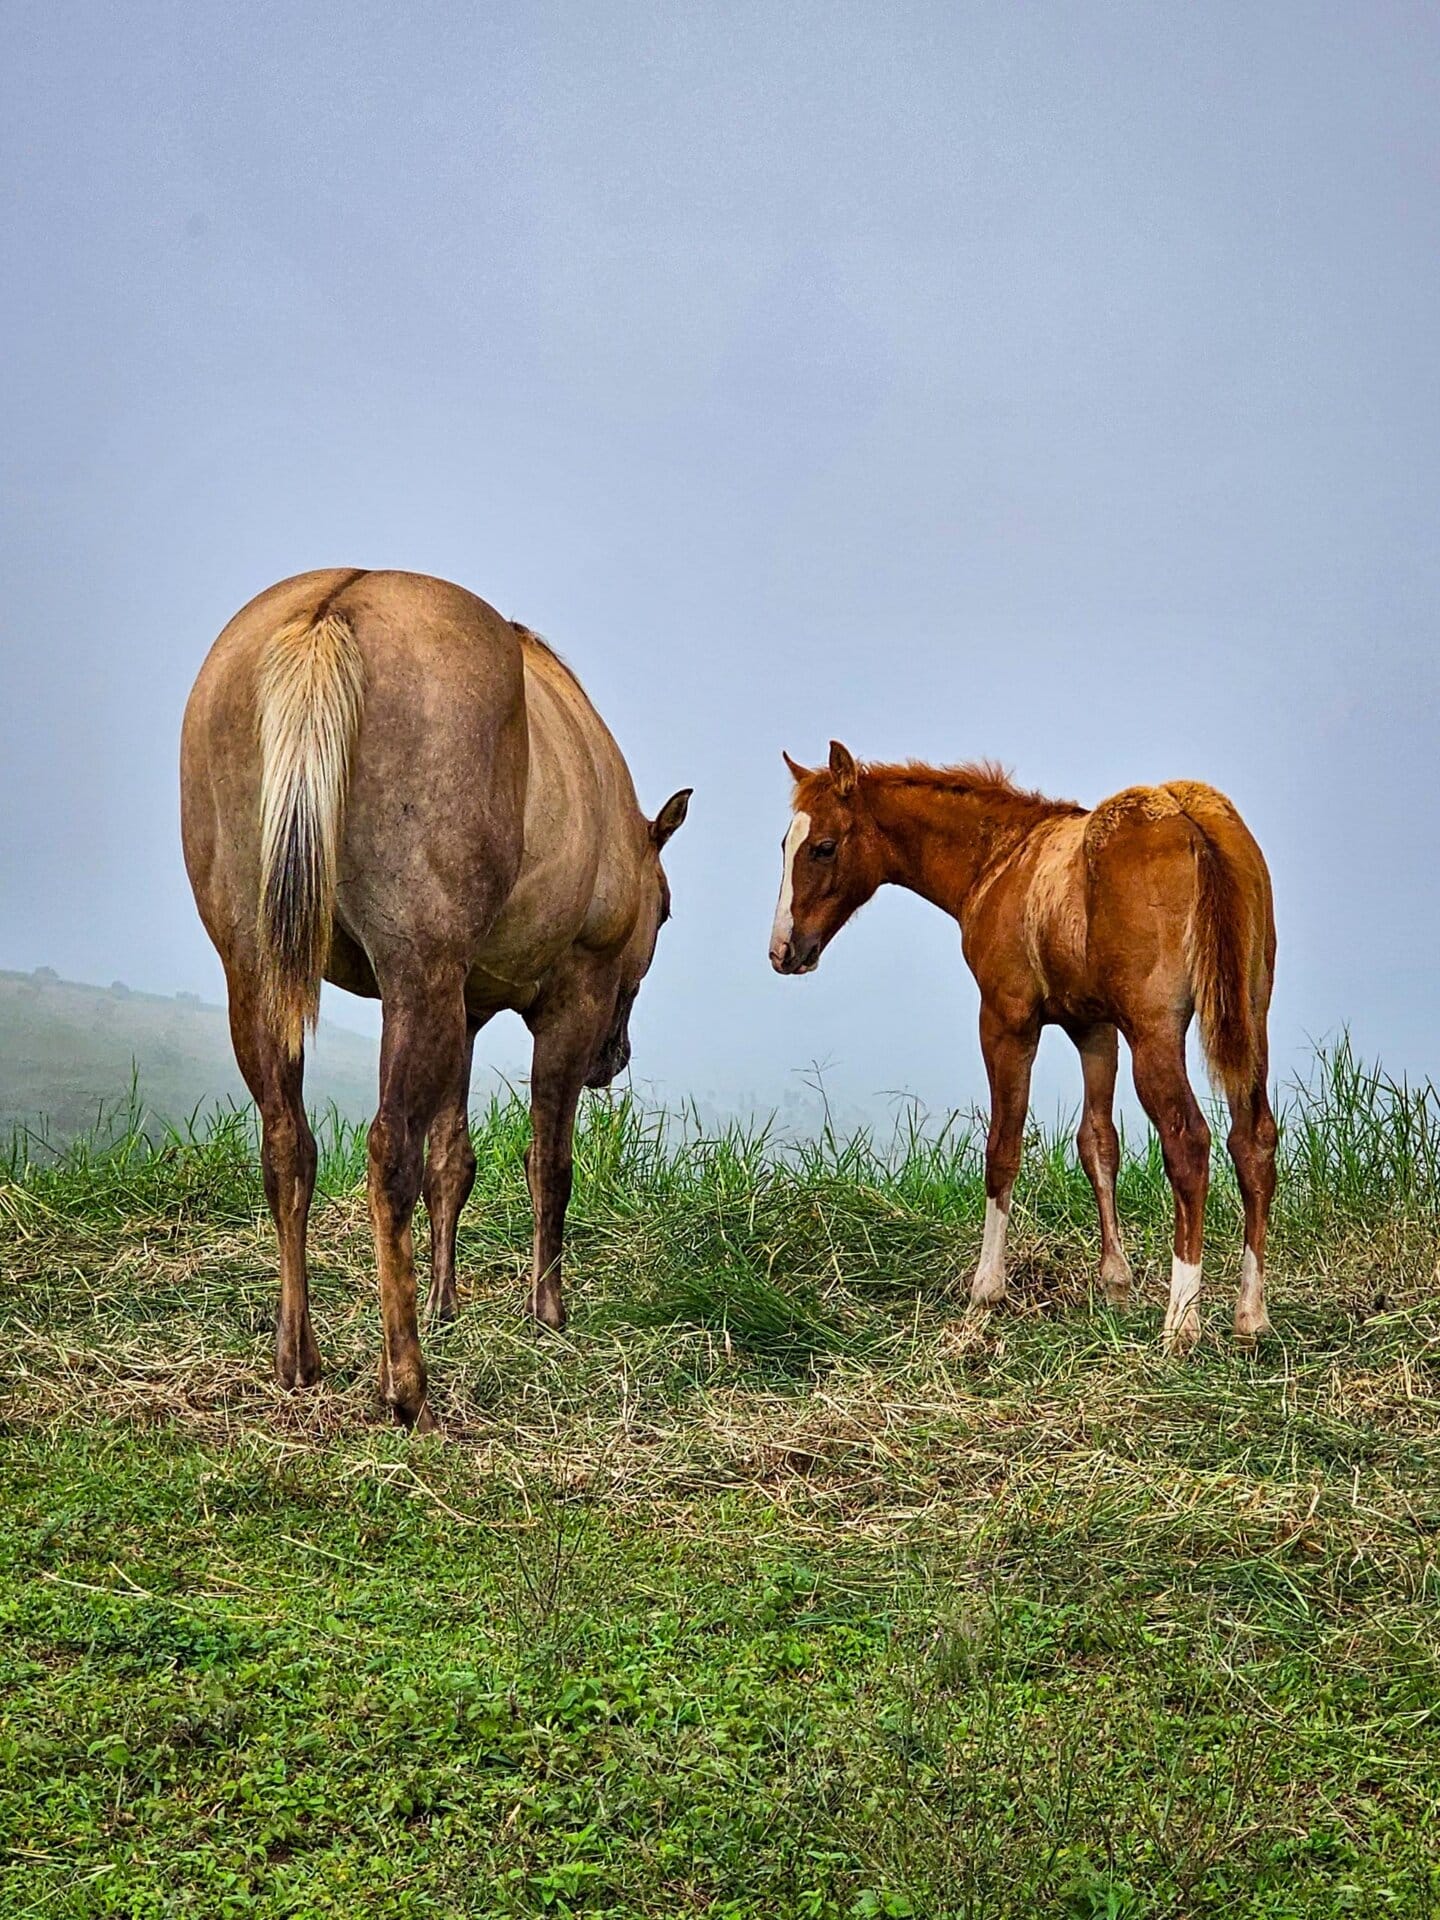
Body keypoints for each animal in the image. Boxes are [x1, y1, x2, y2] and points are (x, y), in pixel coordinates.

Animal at [181, 569, 690, 1429]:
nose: (613, 1060)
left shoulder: (467, 1005)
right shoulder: (569, 1000)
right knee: (389, 1152)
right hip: (416, 981)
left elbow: (454, 1159)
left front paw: (449, 1301)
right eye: (667, 909)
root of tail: (330, 614)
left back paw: (299, 1359)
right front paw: (546, 1311)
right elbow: (547, 1161)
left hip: (259, 971)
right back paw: (407, 1384)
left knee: (289, 1145)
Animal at [769, 742, 1276, 1353]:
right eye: (784, 846)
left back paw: (1181, 1323)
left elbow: (1003, 1147)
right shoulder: (1094, 1028)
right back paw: (1251, 1315)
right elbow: (1097, 1144)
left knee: (1189, 1142)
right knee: (1253, 1141)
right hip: (1250, 1019)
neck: (1003, 860)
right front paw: (1116, 1285)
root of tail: (1192, 815)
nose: (783, 951)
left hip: (1155, 1032)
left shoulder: (1006, 1020)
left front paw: (986, 1290)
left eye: (824, 847)